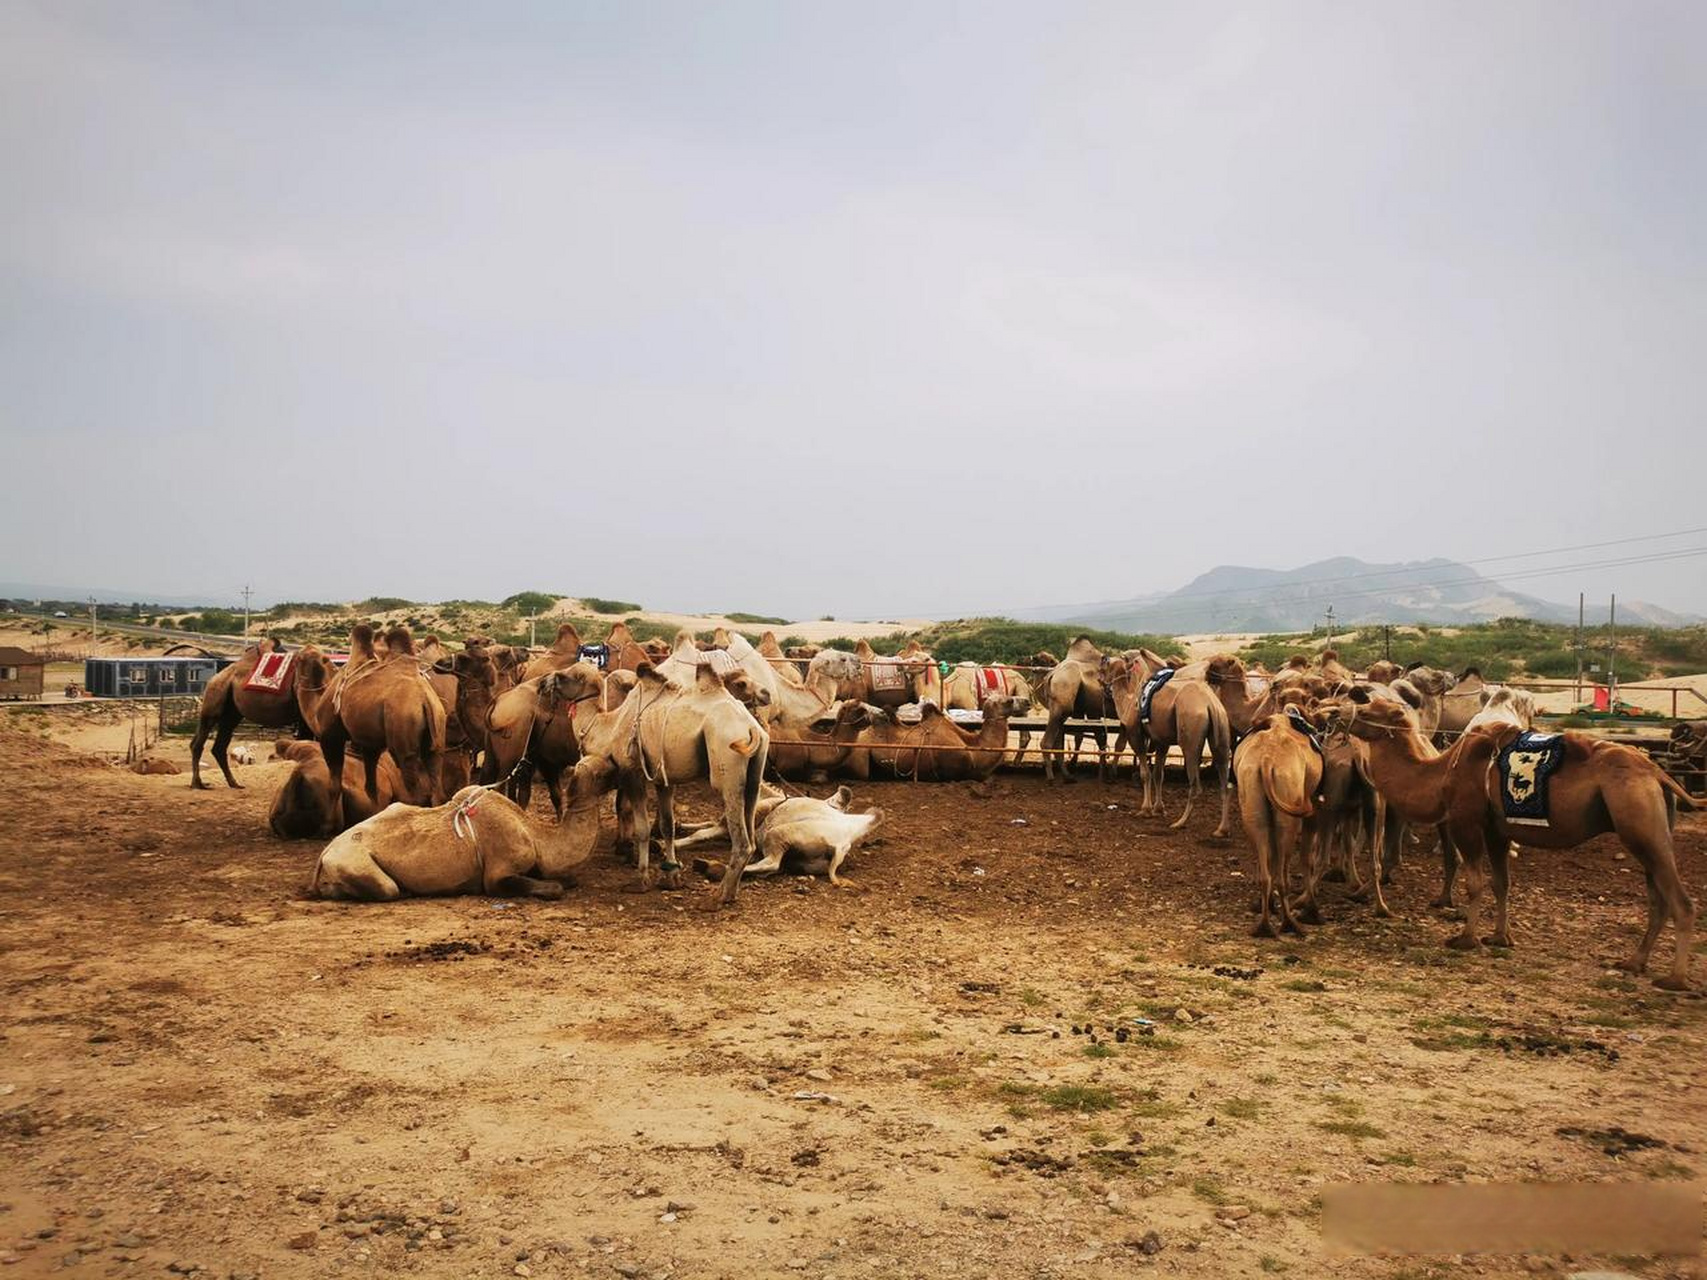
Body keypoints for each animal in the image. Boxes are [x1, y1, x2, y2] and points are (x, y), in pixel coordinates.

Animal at [190, 641, 314, 791]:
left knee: (218, 746)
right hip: (214, 699)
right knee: (199, 742)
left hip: (231, 713)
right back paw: (198, 784)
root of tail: (214, 678)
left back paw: (234, 783)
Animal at [298, 628, 447, 832]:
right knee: (436, 783)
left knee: (414, 786)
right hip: (436, 738)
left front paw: (328, 826)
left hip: (403, 738)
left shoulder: (331, 737)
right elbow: (371, 787)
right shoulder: (370, 744)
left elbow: (334, 784)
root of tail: (425, 700)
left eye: (297, 660)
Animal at [310, 768, 611, 907]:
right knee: (386, 889)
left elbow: (564, 879)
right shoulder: (499, 874)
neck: (537, 835)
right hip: (354, 861)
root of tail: (326, 851)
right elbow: (553, 887)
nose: (616, 767)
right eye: (599, 773)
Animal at [1235, 713, 1324, 942]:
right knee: (1284, 867)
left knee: (1266, 869)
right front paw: (1313, 911)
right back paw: (1290, 924)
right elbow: (1308, 859)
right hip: (1288, 808)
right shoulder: (1313, 814)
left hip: (1252, 801)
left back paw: (1264, 924)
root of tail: (1267, 760)